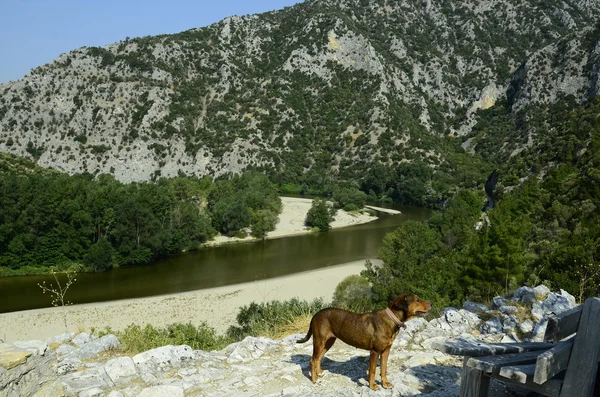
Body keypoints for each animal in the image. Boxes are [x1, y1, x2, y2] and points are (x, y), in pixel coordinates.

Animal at [296, 292, 432, 388]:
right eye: (417, 300)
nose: (431, 303)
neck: (391, 318)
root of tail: (315, 314)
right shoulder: (374, 351)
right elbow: (372, 370)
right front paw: (372, 385)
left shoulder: (386, 350)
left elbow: (383, 369)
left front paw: (385, 383)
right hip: (320, 341)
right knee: (312, 360)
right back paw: (314, 379)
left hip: (328, 342)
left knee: (318, 358)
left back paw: (319, 372)